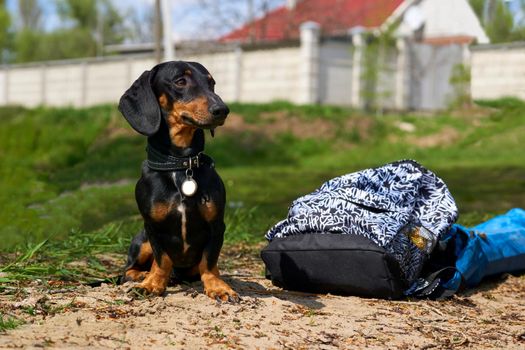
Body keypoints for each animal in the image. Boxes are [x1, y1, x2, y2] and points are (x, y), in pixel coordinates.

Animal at [117, 61, 238, 302]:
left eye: (211, 83)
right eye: (180, 81)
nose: (222, 110)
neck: (180, 166)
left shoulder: (216, 225)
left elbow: (209, 261)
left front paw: (217, 286)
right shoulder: (152, 228)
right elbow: (162, 259)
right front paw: (152, 284)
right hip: (140, 240)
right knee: (128, 269)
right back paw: (141, 275)